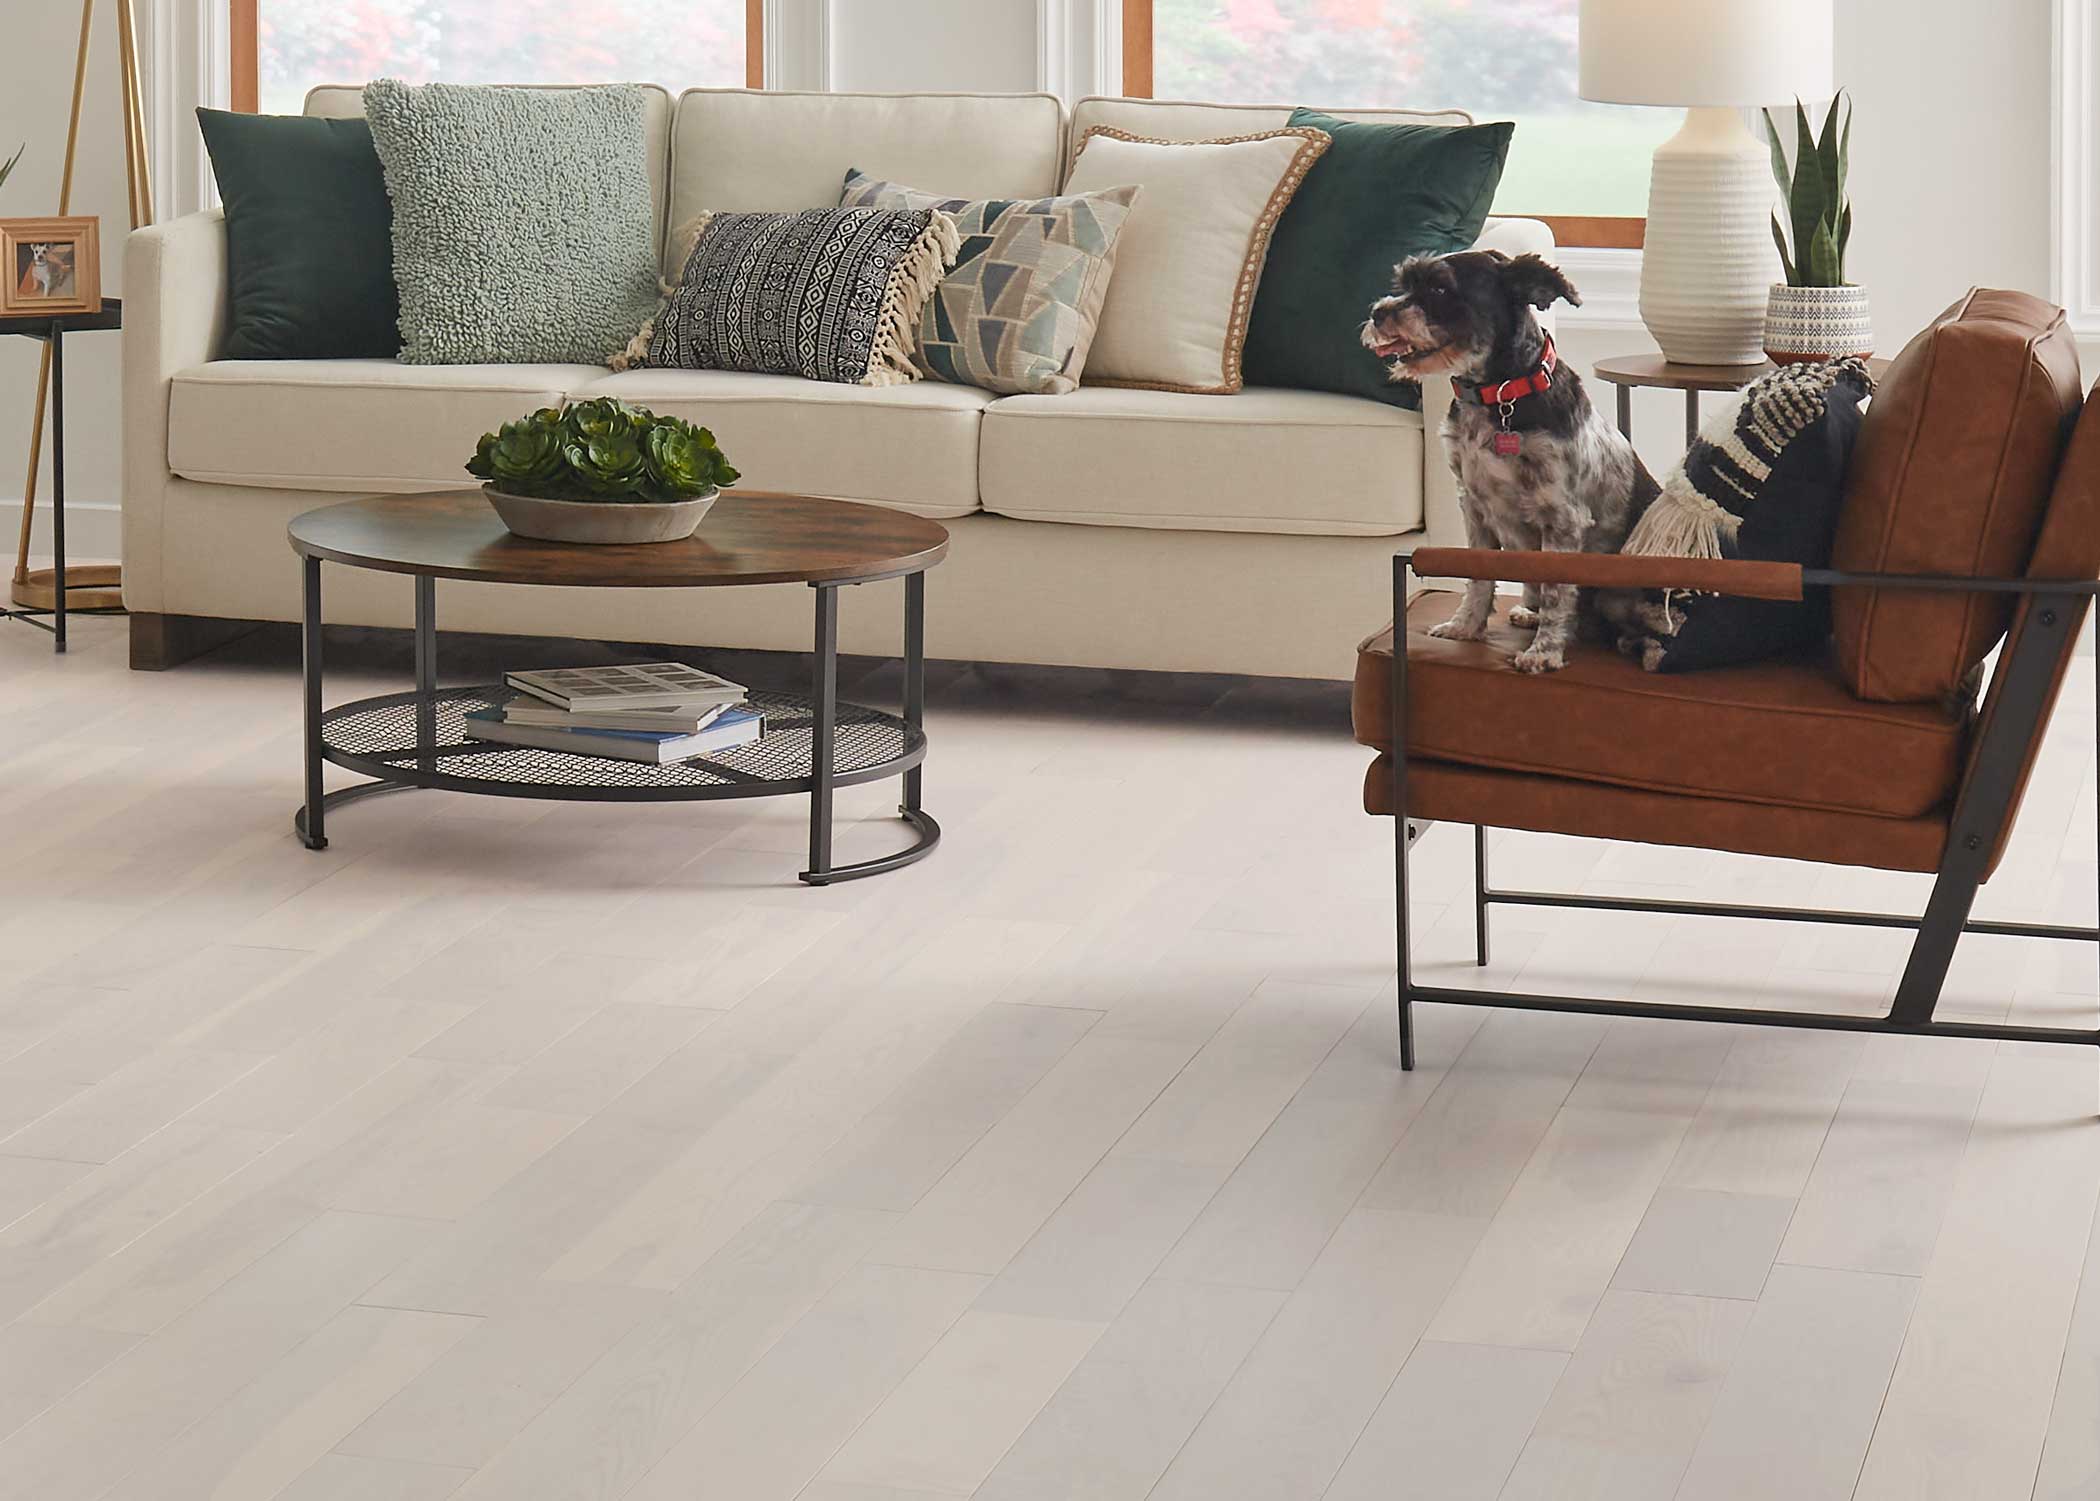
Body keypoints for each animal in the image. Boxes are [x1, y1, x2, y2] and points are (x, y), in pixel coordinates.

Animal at [1369, 249, 1663, 671]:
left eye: (1441, 288)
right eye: (1405, 284)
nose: (1378, 312)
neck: (1500, 396)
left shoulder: (1562, 520)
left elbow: (1557, 591)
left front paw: (1544, 652)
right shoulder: (1473, 505)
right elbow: (1477, 575)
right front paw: (1465, 627)